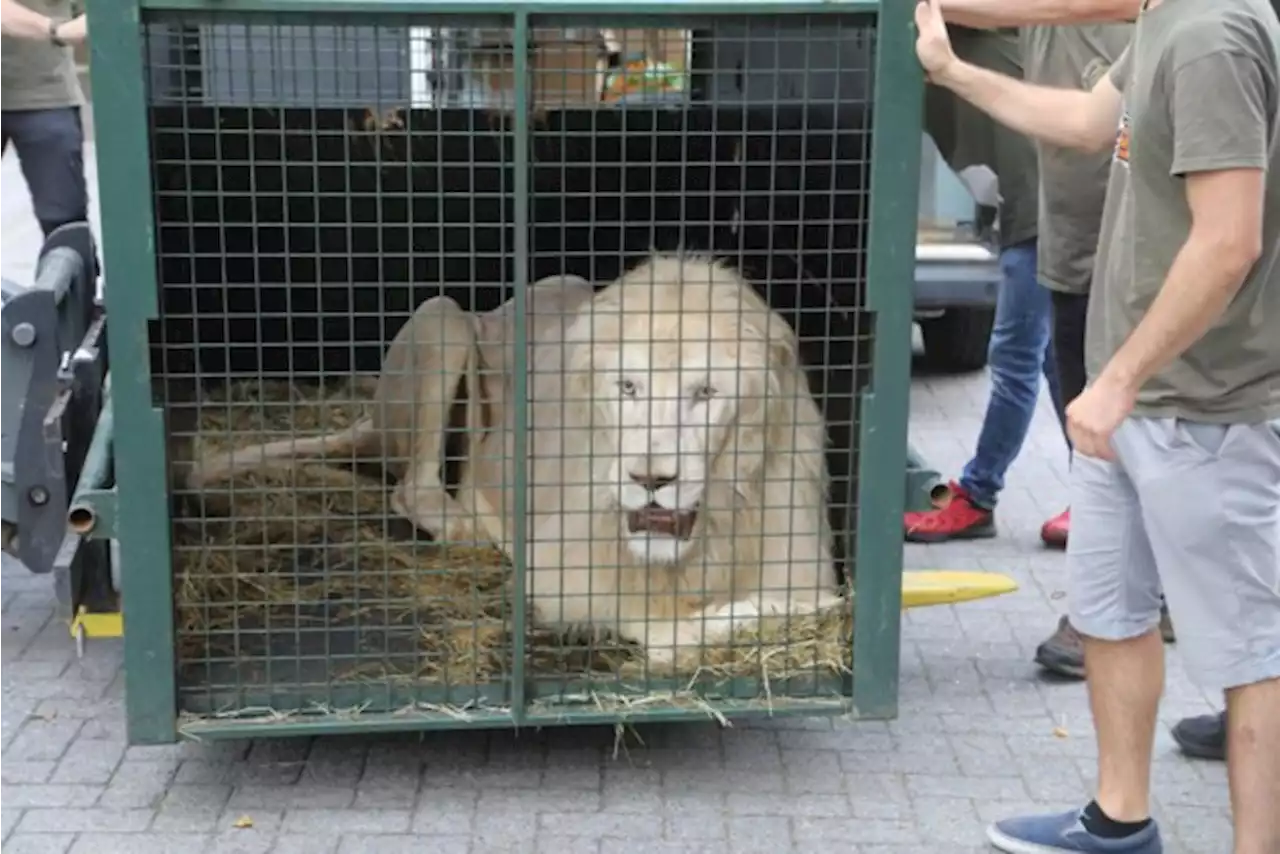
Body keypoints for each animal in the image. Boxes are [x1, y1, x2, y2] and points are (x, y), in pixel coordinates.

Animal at [186, 253, 839, 665]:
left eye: (705, 392)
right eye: (627, 386)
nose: (649, 479)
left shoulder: (803, 560)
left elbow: (808, 601)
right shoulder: (563, 566)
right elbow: (670, 630)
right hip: (443, 318)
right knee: (412, 487)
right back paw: (471, 525)